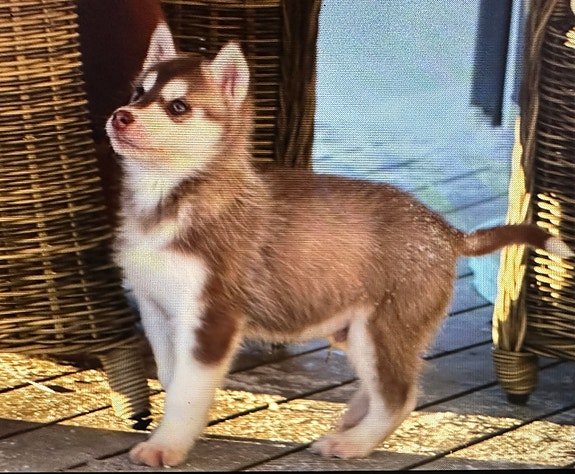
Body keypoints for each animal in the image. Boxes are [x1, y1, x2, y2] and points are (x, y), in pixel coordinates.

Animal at [106, 22, 573, 467]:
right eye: (138, 92)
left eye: (178, 107)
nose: (120, 116)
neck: (166, 196)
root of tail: (446, 230)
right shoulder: (157, 309)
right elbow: (173, 379)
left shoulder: (212, 316)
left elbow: (188, 390)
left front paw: (165, 446)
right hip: (357, 329)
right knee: (385, 384)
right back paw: (352, 420)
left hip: (382, 328)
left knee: (399, 395)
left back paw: (352, 443)